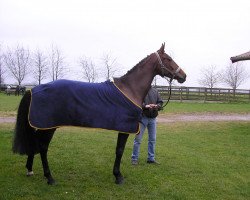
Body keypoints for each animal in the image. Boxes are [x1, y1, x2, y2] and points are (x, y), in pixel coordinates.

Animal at [12, 43, 187, 185]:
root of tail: (33, 90)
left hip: (42, 126)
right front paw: (118, 176)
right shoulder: (124, 129)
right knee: (42, 148)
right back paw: (49, 178)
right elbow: (119, 151)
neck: (130, 89)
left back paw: (30, 169)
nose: (184, 76)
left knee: (34, 143)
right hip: (49, 127)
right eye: (168, 58)